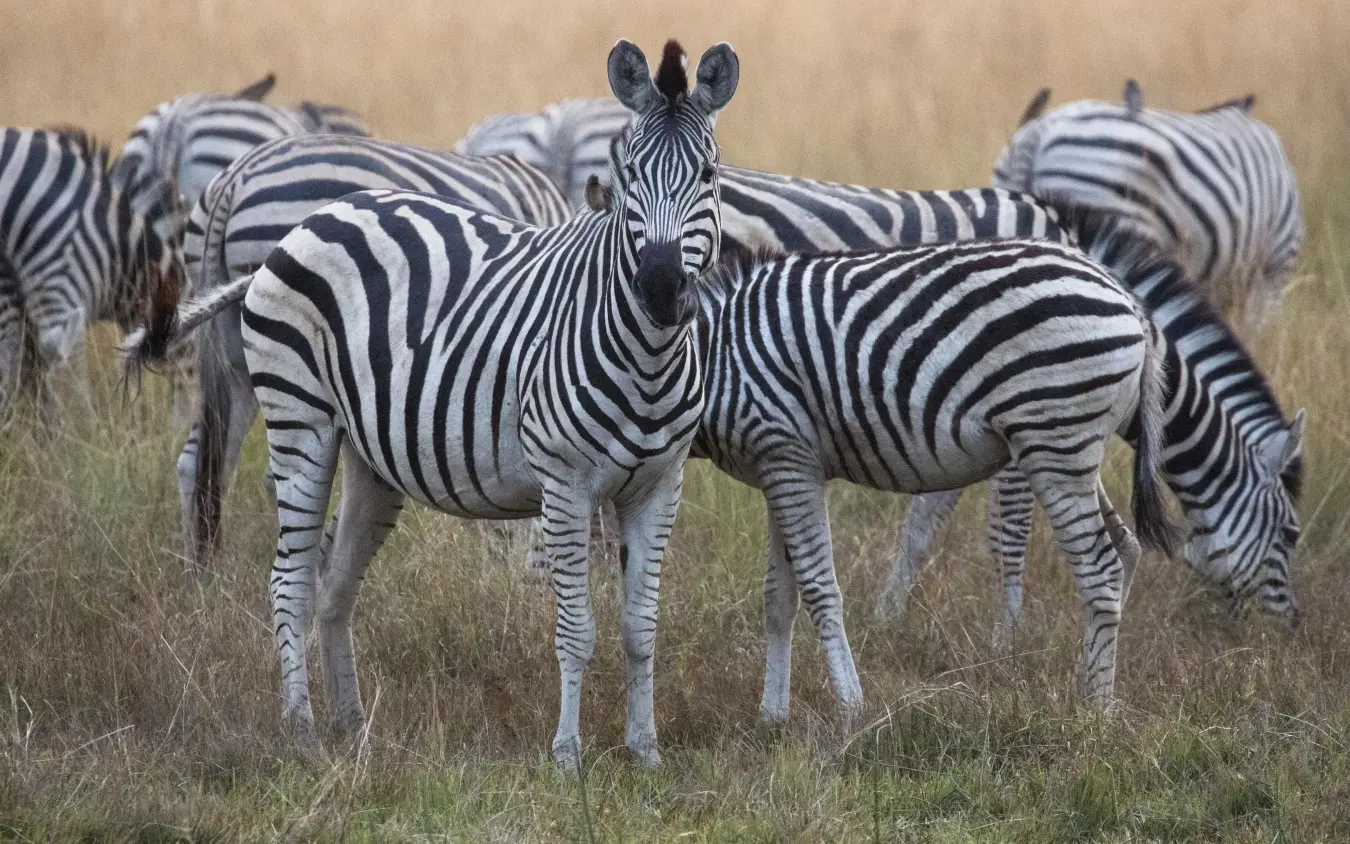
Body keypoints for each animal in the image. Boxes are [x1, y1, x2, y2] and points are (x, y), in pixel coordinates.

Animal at [876, 212, 1305, 634]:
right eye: (1290, 535)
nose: (1288, 632)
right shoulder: (1018, 425)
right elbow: (1008, 535)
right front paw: (1008, 636)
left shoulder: (952, 431)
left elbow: (922, 525)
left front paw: (889, 618)